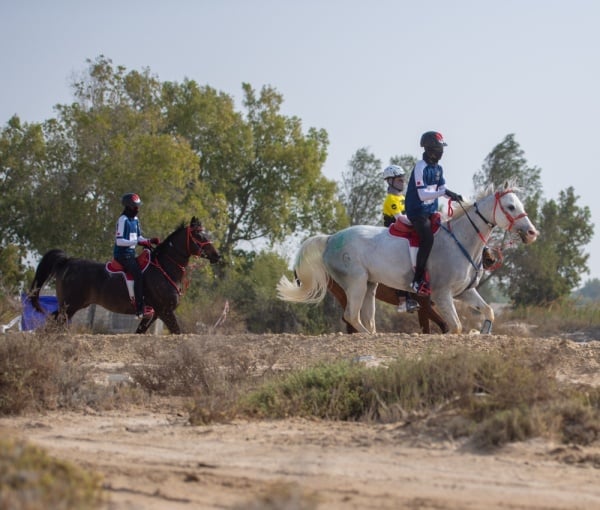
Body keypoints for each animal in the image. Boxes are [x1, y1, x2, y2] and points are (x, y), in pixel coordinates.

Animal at [28, 216, 220, 332]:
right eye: (199, 236)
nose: (217, 256)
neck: (165, 269)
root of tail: (67, 261)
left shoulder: (154, 314)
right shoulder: (165, 311)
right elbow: (177, 332)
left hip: (69, 306)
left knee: (51, 321)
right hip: (69, 306)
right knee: (54, 324)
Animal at [276, 184, 540, 334]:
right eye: (510, 207)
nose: (531, 233)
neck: (460, 240)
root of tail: (331, 238)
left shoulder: (465, 292)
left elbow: (488, 311)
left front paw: (484, 332)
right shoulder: (440, 295)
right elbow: (454, 327)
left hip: (370, 286)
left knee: (366, 319)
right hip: (355, 283)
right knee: (351, 316)